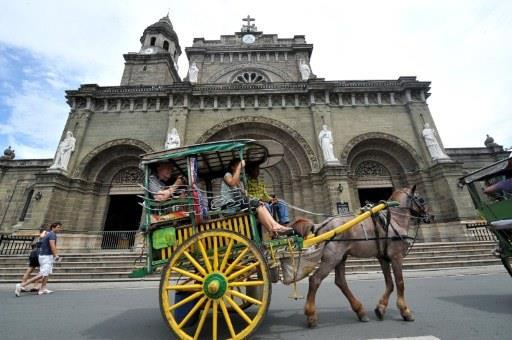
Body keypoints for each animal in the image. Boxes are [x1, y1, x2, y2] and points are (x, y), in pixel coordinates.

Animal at [290, 186, 430, 326]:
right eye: (421, 199)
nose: (430, 217)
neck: (394, 220)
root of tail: (319, 225)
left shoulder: (383, 257)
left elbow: (389, 284)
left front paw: (381, 308)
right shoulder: (396, 256)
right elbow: (400, 283)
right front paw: (405, 311)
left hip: (340, 257)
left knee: (340, 281)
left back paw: (360, 311)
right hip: (332, 258)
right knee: (315, 280)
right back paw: (311, 315)